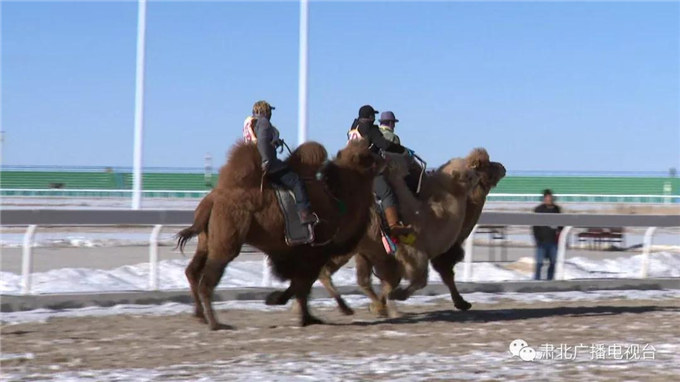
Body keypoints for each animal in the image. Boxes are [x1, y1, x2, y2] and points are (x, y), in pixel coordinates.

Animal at [177, 140, 382, 328]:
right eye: (368, 157)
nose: (384, 157)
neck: (337, 203)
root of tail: (211, 201)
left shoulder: (298, 256)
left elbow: (302, 287)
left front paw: (308, 317)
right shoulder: (312, 254)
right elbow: (302, 285)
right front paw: (280, 303)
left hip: (205, 241)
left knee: (192, 271)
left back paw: (201, 316)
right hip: (225, 244)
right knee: (207, 280)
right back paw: (216, 323)